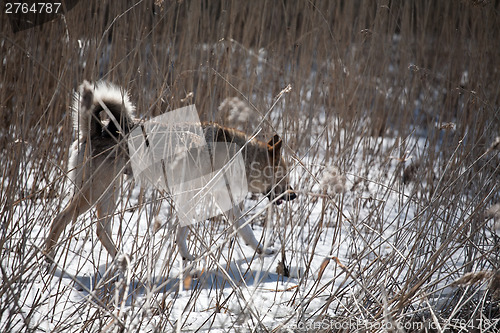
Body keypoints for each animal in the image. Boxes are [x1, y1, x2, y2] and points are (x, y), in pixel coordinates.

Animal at [44, 80, 296, 262]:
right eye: (283, 175)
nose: (293, 195)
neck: (241, 157)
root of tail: (95, 131)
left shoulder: (222, 202)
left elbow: (245, 231)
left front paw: (262, 251)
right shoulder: (192, 197)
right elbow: (185, 229)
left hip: (109, 192)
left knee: (101, 230)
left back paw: (122, 260)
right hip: (94, 192)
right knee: (60, 219)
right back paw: (49, 258)